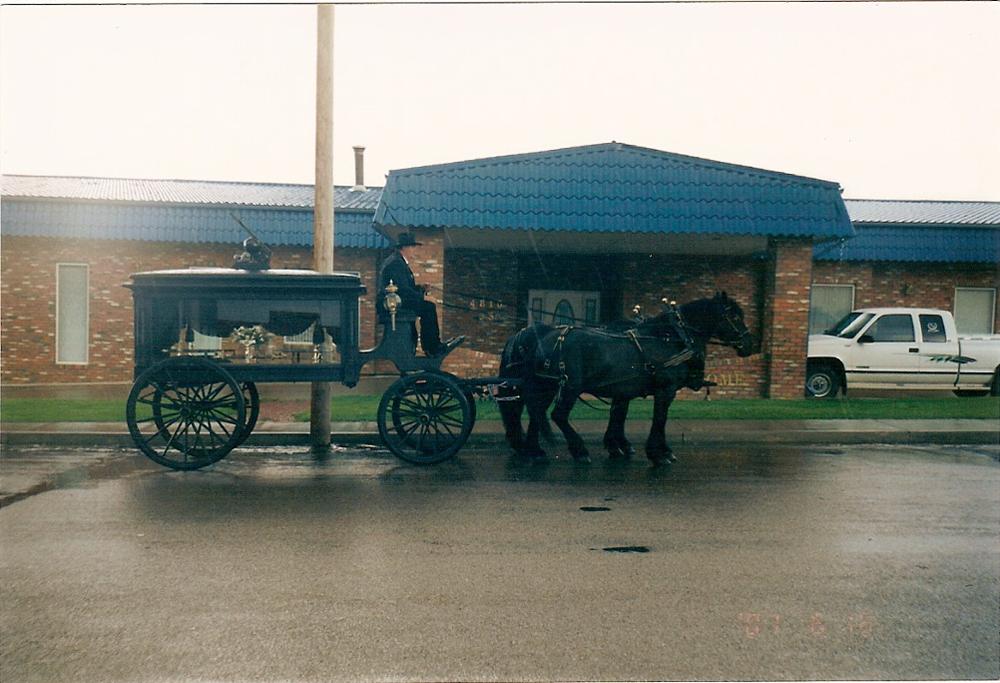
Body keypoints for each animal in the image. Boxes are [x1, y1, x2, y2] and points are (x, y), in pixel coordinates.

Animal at [500, 294, 756, 464]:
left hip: (547, 384)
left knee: (537, 412)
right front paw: (657, 453)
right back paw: (579, 450)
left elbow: (620, 415)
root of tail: (543, 338)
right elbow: (659, 419)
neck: (670, 338)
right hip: (570, 385)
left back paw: (533, 450)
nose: (750, 344)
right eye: (734, 316)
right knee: (557, 415)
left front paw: (622, 446)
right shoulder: (665, 389)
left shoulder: (623, 391)